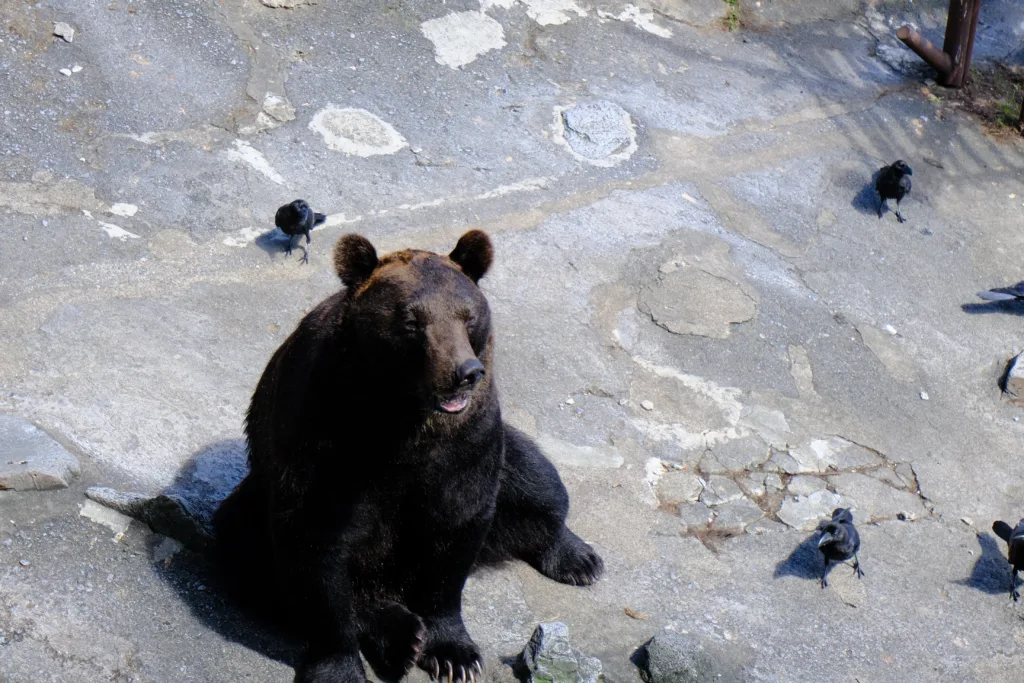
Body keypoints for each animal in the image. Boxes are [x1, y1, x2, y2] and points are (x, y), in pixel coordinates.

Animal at [211, 231, 602, 683]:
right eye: (412, 321)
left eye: (468, 316)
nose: (464, 372)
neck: (401, 416)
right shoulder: (321, 432)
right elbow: (315, 541)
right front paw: (340, 668)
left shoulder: (464, 445)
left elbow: (456, 527)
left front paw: (454, 654)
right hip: (254, 504)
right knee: (247, 549)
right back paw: (397, 635)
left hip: (508, 451)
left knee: (540, 482)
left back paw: (579, 558)